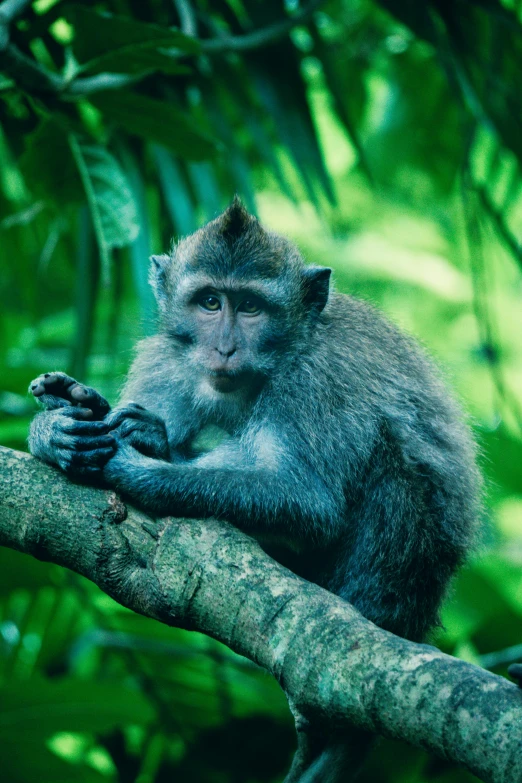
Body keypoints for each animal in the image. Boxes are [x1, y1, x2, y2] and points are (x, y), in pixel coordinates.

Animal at [29, 199, 480, 780]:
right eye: (209, 302)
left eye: (250, 308)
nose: (224, 347)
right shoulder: (167, 360)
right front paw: (62, 427)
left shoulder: (314, 381)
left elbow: (308, 500)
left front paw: (134, 469)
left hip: (405, 568)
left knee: (395, 472)